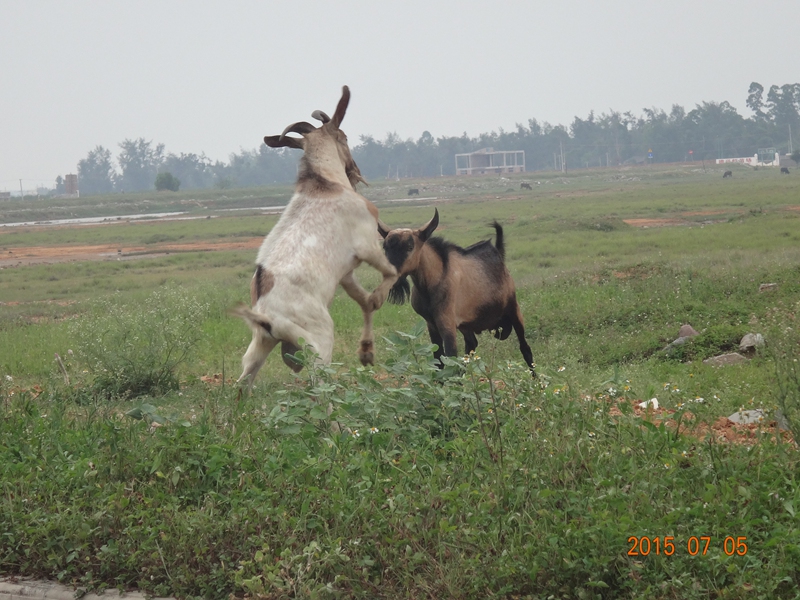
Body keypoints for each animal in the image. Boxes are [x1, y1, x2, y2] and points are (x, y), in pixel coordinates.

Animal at [233, 85, 398, 390]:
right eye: (344, 137)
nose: (355, 170)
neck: (324, 182)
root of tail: (265, 316)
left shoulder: (346, 272)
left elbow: (364, 301)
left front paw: (366, 353)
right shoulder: (367, 245)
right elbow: (388, 277)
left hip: (259, 346)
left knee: (243, 382)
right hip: (319, 341)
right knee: (319, 384)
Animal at [378, 209, 536, 372]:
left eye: (410, 247)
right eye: (385, 248)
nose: (390, 276)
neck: (432, 281)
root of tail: (498, 253)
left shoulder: (447, 323)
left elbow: (450, 360)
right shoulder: (431, 324)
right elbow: (439, 361)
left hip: (513, 309)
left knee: (525, 348)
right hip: (466, 325)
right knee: (471, 346)